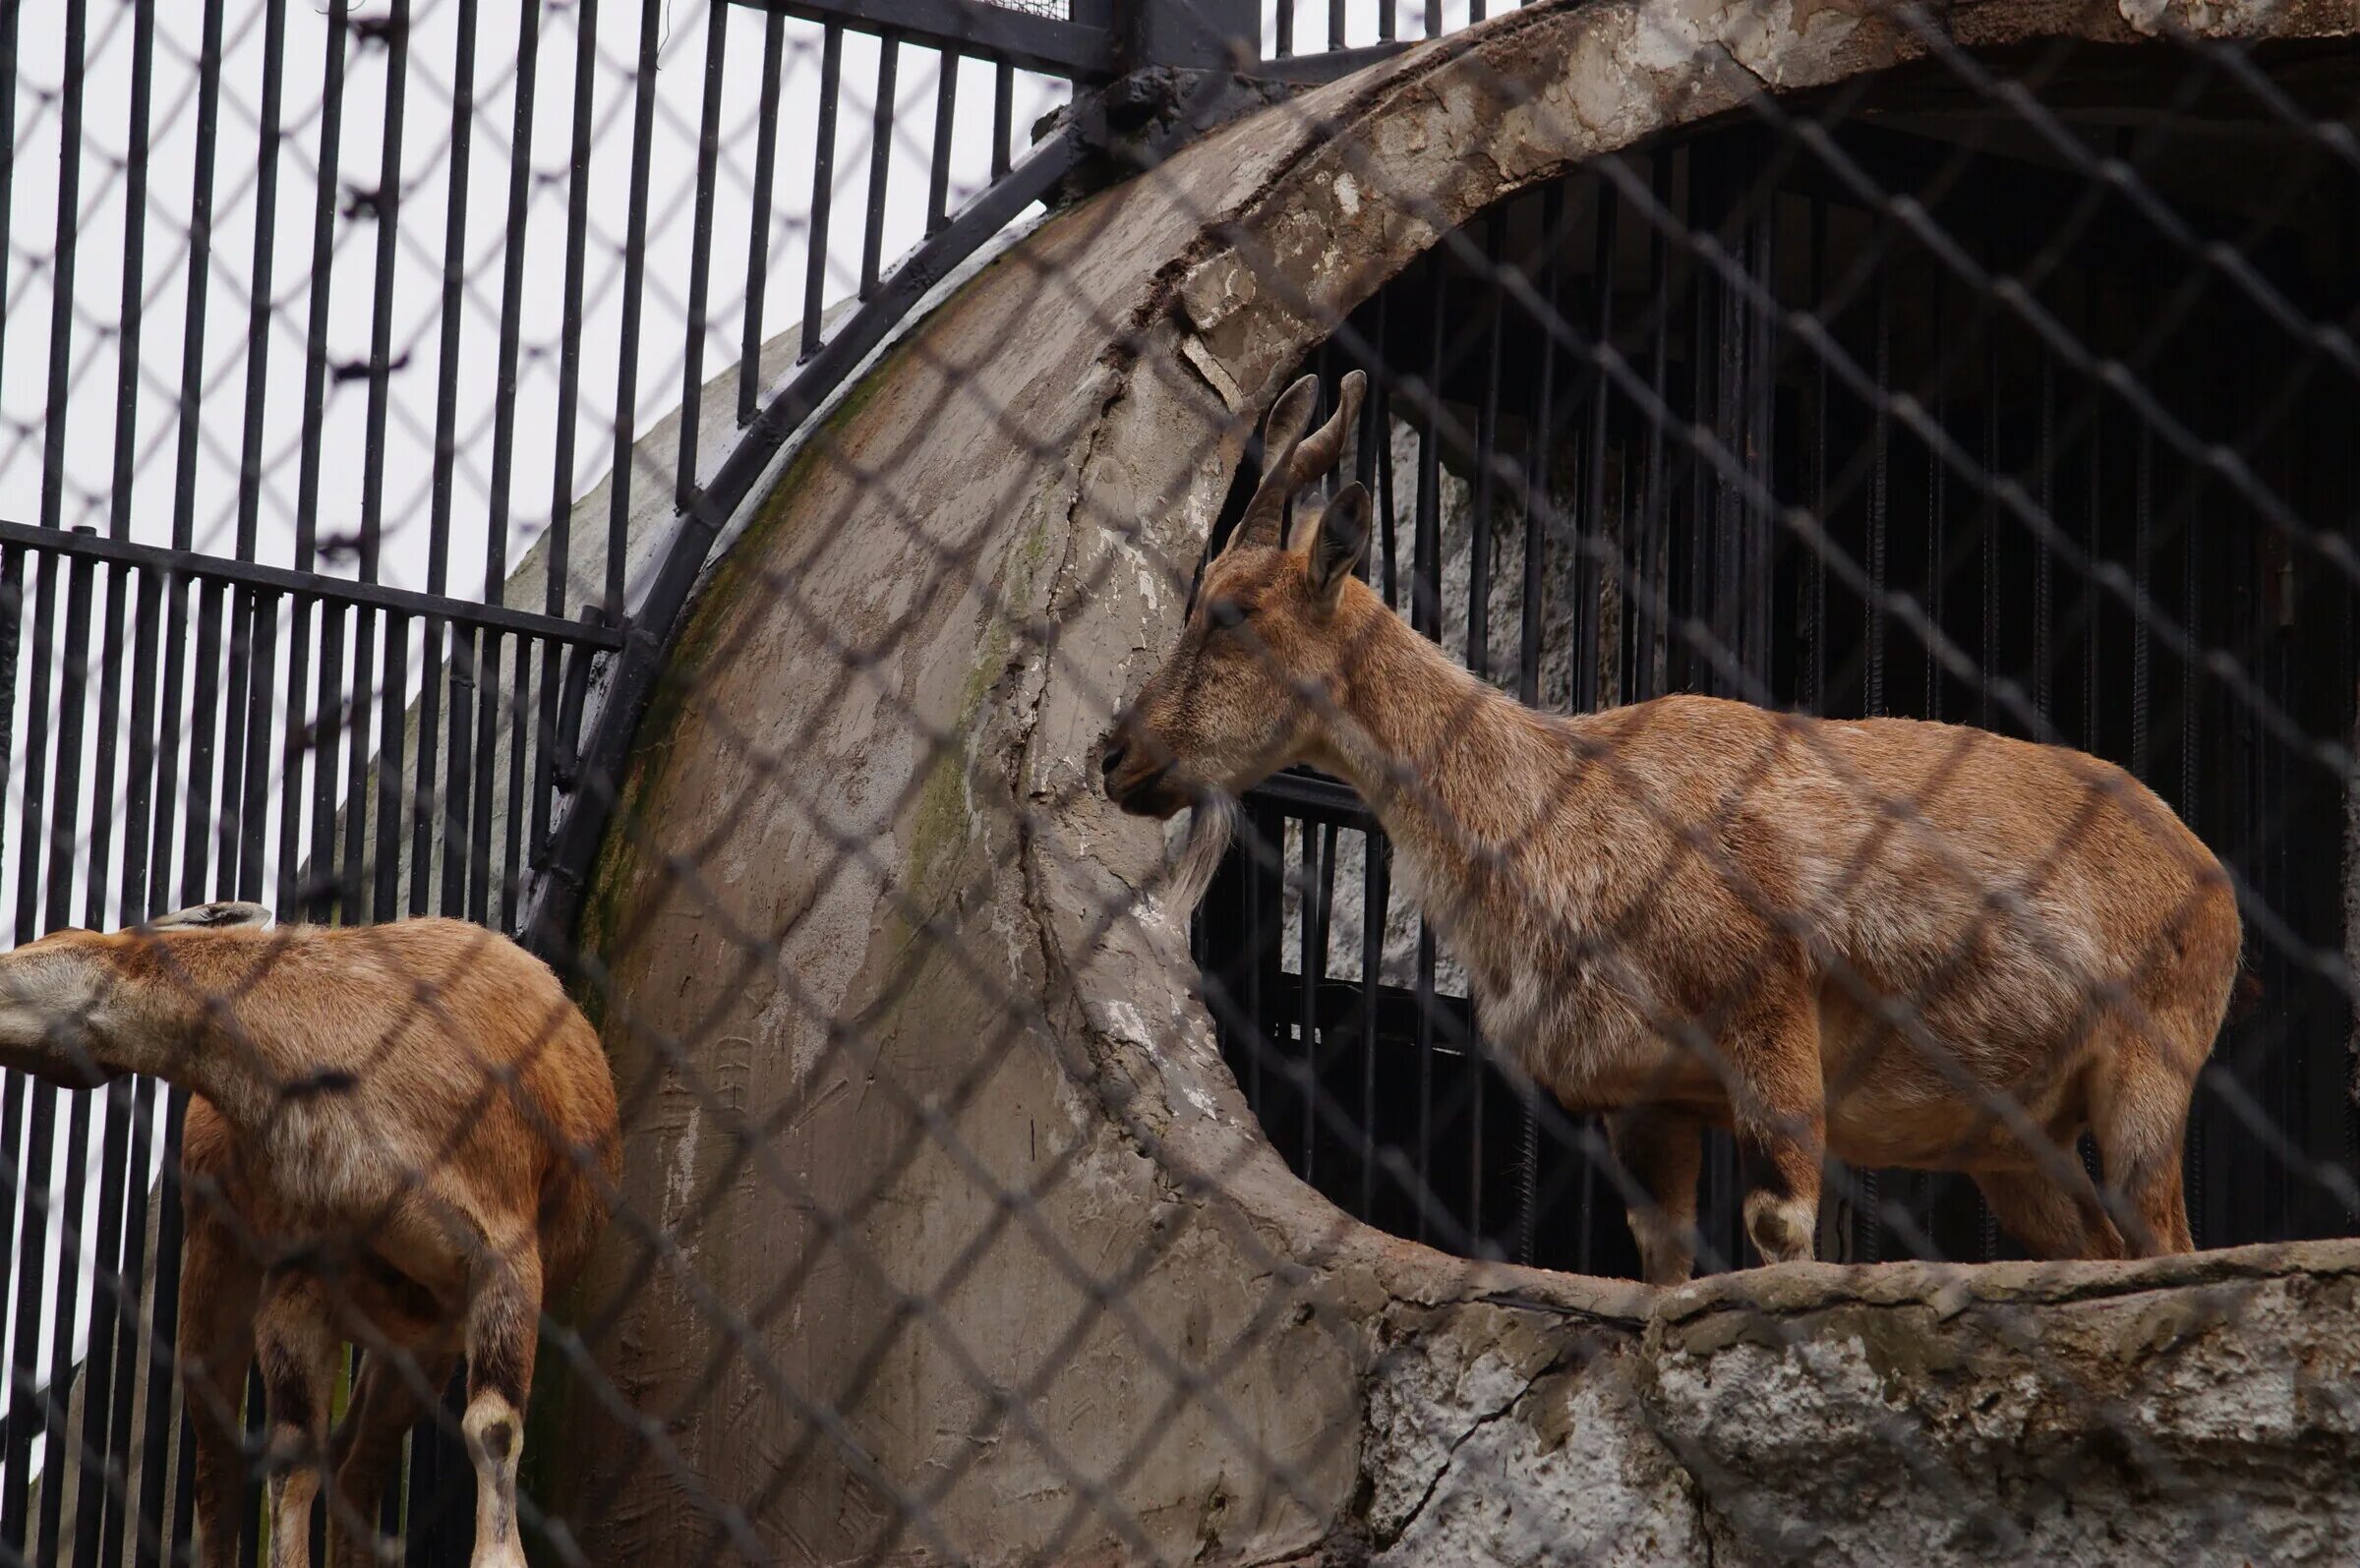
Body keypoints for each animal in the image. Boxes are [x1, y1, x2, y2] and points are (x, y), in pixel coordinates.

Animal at [0, 905, 622, 1565]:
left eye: (45, 942)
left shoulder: (501, 1250)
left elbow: (493, 1427)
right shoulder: (300, 1277)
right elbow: (291, 1458)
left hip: (419, 1341)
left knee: (353, 1464)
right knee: (226, 1468)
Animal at [1094, 370, 2237, 1282]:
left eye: (1230, 612)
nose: (1116, 754)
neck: (1566, 815)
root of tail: (2213, 877)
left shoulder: (1769, 1012)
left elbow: (1778, 1227)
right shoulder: (1647, 1098)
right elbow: (1663, 1263)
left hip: (2148, 1072)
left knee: (2166, 1241)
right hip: (2012, 1141)